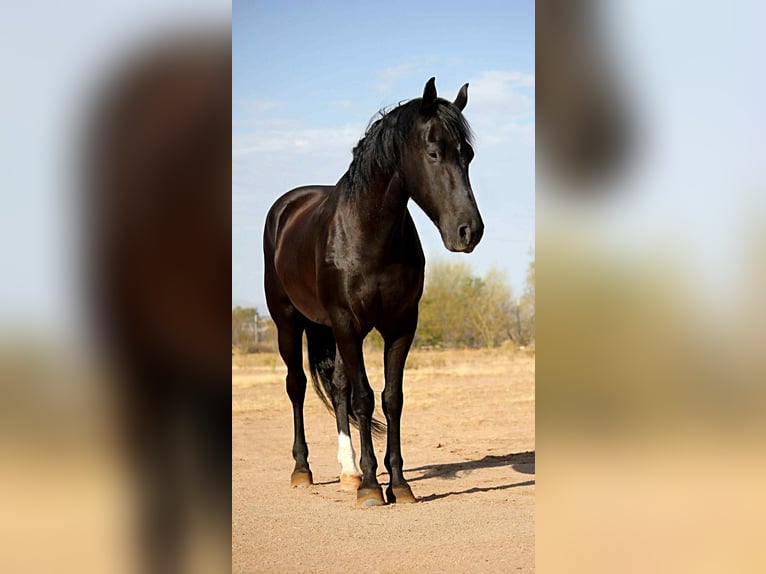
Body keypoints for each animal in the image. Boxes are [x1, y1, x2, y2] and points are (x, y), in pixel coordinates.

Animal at [263, 77, 484, 507]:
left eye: (467, 155)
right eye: (434, 152)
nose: (470, 231)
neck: (368, 235)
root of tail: (286, 207)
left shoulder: (400, 326)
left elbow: (390, 398)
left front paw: (398, 483)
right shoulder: (349, 324)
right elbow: (364, 399)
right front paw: (371, 486)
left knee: (337, 388)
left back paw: (347, 472)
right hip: (289, 323)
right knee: (297, 386)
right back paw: (304, 470)